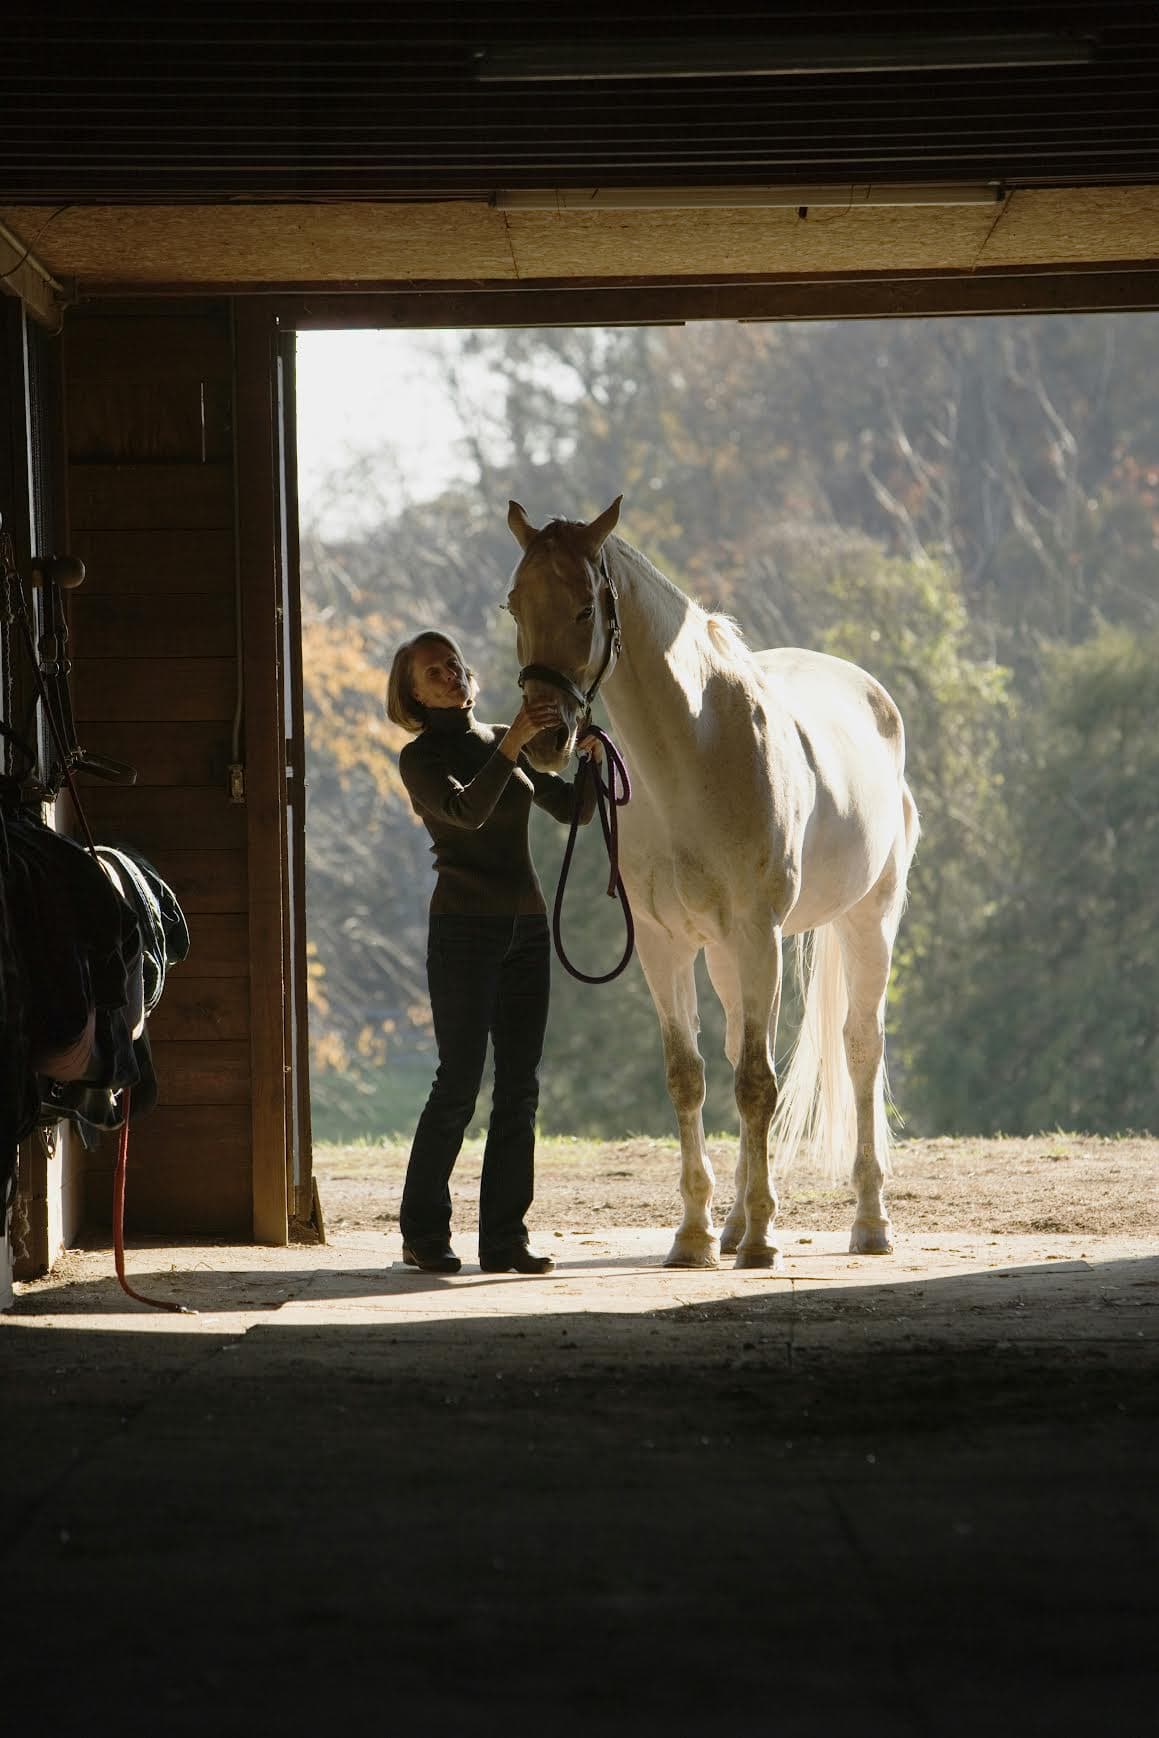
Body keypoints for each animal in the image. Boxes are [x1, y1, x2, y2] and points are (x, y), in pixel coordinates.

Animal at [505, 495, 920, 1270]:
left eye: (584, 608)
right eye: (513, 603)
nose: (545, 737)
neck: (690, 761)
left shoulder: (758, 936)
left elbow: (758, 1082)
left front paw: (761, 1241)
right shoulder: (664, 945)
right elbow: (691, 1076)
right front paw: (695, 1236)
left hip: (866, 921)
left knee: (859, 1047)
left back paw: (869, 1222)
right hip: (728, 956)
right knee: (733, 1055)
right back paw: (730, 1224)